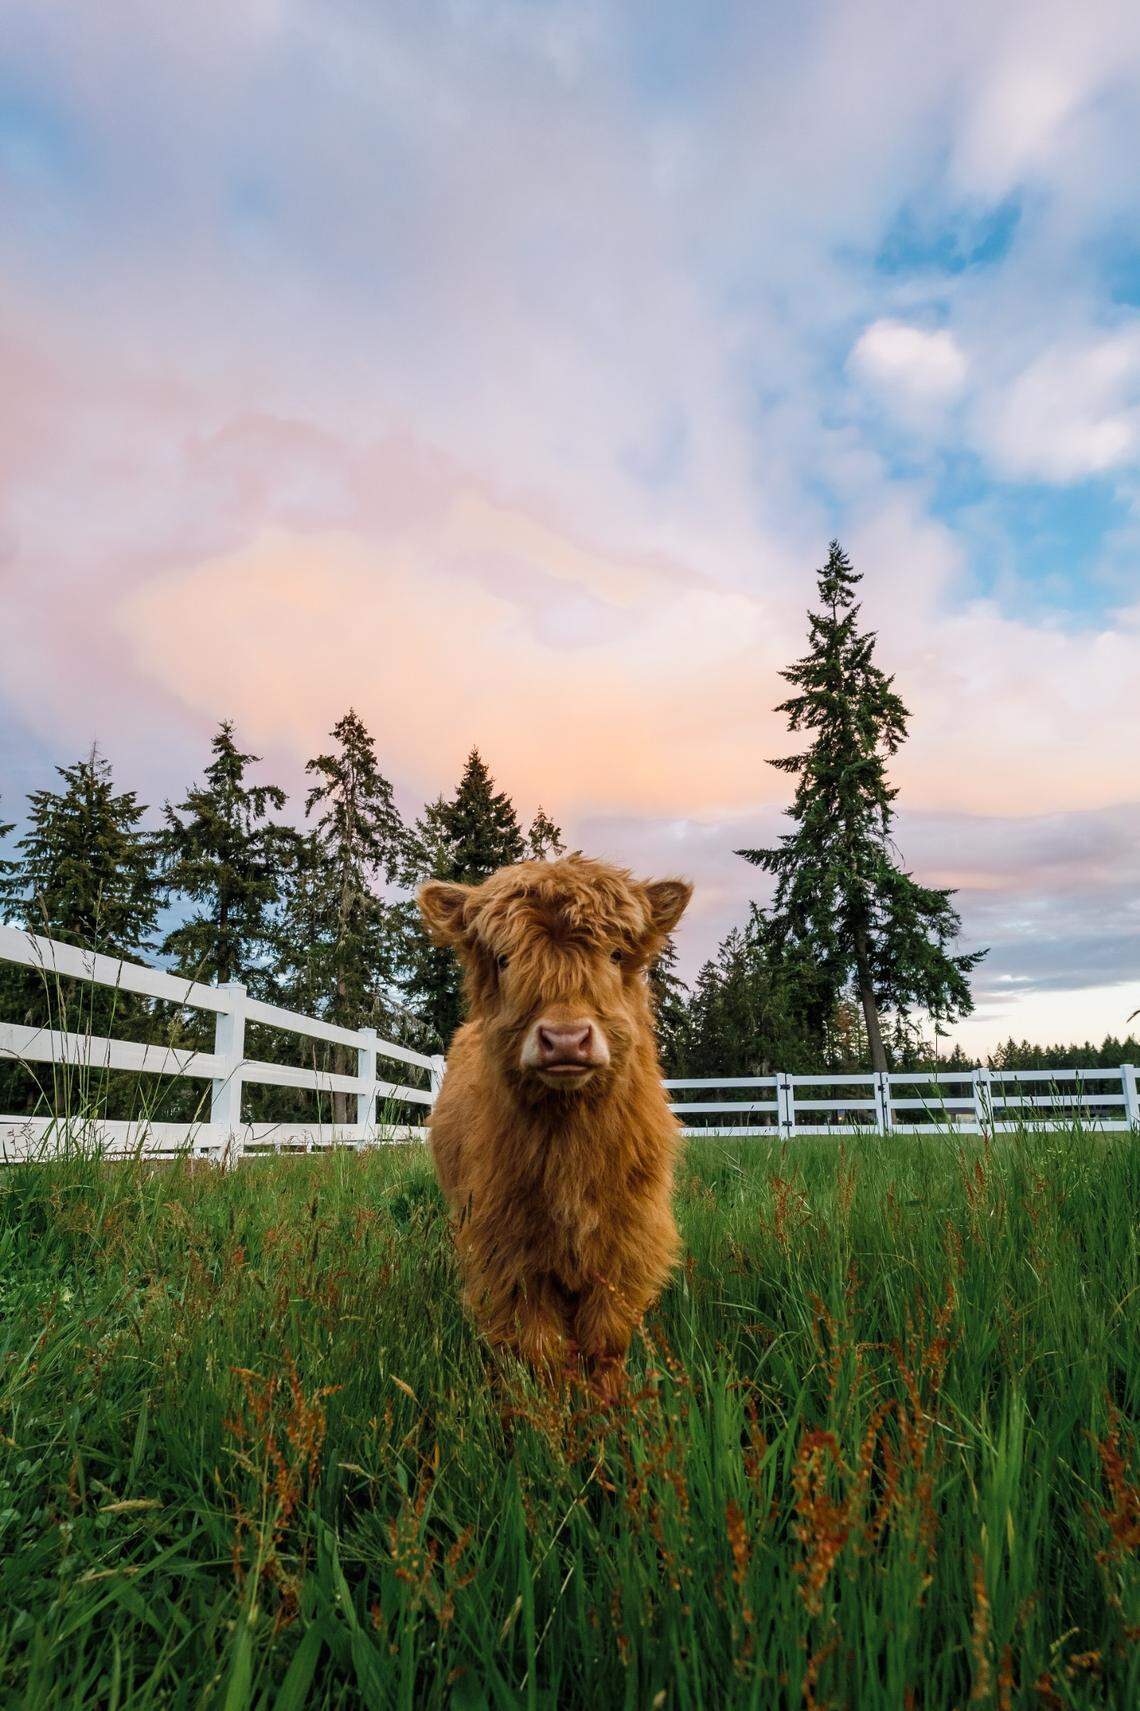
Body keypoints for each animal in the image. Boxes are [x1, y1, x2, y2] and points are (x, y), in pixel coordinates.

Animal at [417, 855, 692, 1397]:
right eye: (504, 959)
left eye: (615, 954)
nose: (565, 1039)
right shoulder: (507, 1252)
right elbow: (541, 1348)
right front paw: (551, 1410)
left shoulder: (626, 1244)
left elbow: (605, 1341)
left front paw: (610, 1404)